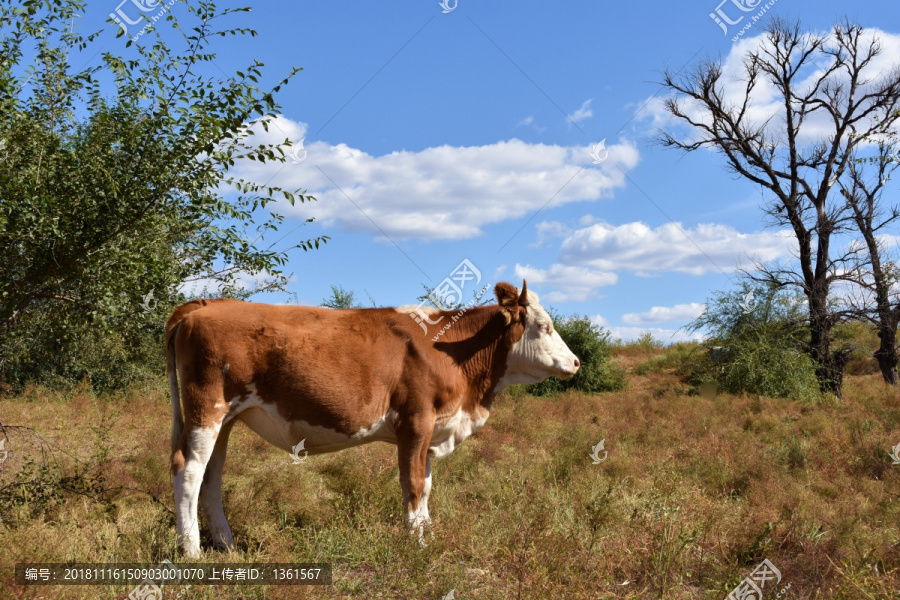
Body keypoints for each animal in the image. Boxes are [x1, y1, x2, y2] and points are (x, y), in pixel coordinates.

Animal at [166, 282, 580, 556]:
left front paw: (428, 535)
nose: (575, 362)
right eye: (544, 326)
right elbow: (413, 484)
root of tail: (204, 304)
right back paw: (192, 551)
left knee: (211, 476)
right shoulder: (416, 421)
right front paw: (416, 543)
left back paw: (227, 544)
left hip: (225, 419)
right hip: (207, 408)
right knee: (188, 470)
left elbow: (426, 487)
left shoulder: (431, 432)